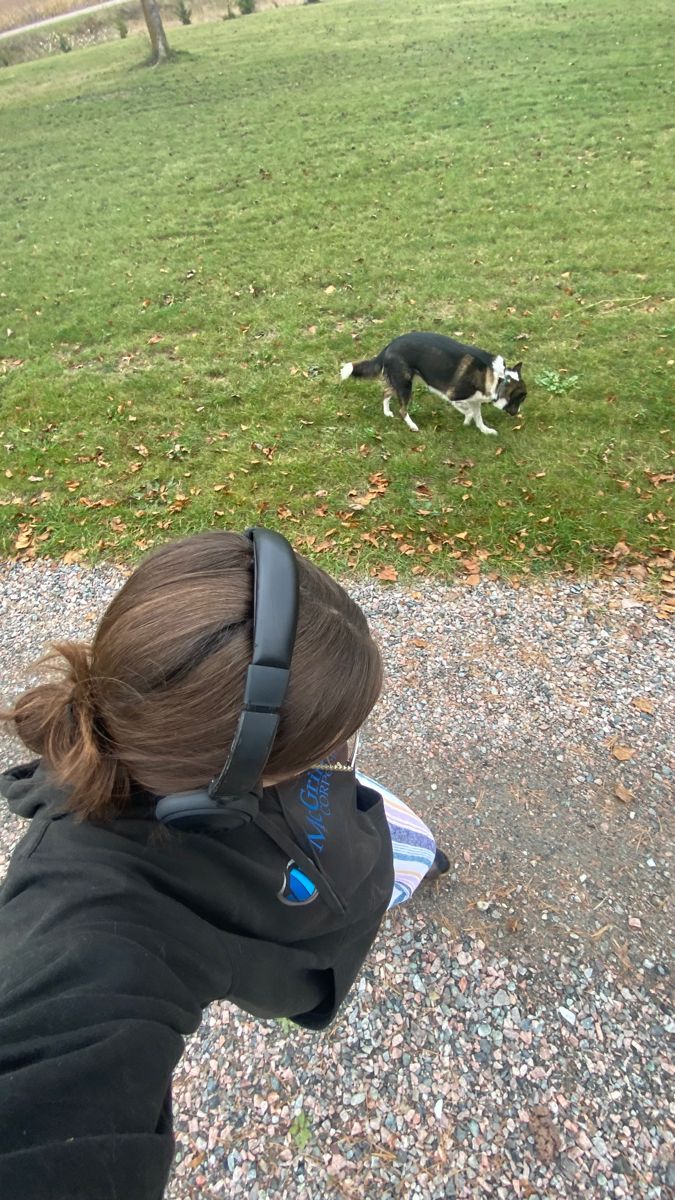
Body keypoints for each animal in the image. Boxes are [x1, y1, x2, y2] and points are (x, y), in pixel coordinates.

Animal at [341, 333, 526, 436]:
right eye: (518, 400)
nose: (517, 413)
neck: (499, 379)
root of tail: (388, 346)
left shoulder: (475, 400)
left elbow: (478, 417)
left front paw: (485, 431)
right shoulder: (453, 396)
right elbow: (469, 412)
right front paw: (467, 420)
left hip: (402, 382)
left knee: (386, 393)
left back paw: (387, 412)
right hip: (405, 385)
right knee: (402, 410)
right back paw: (412, 425)